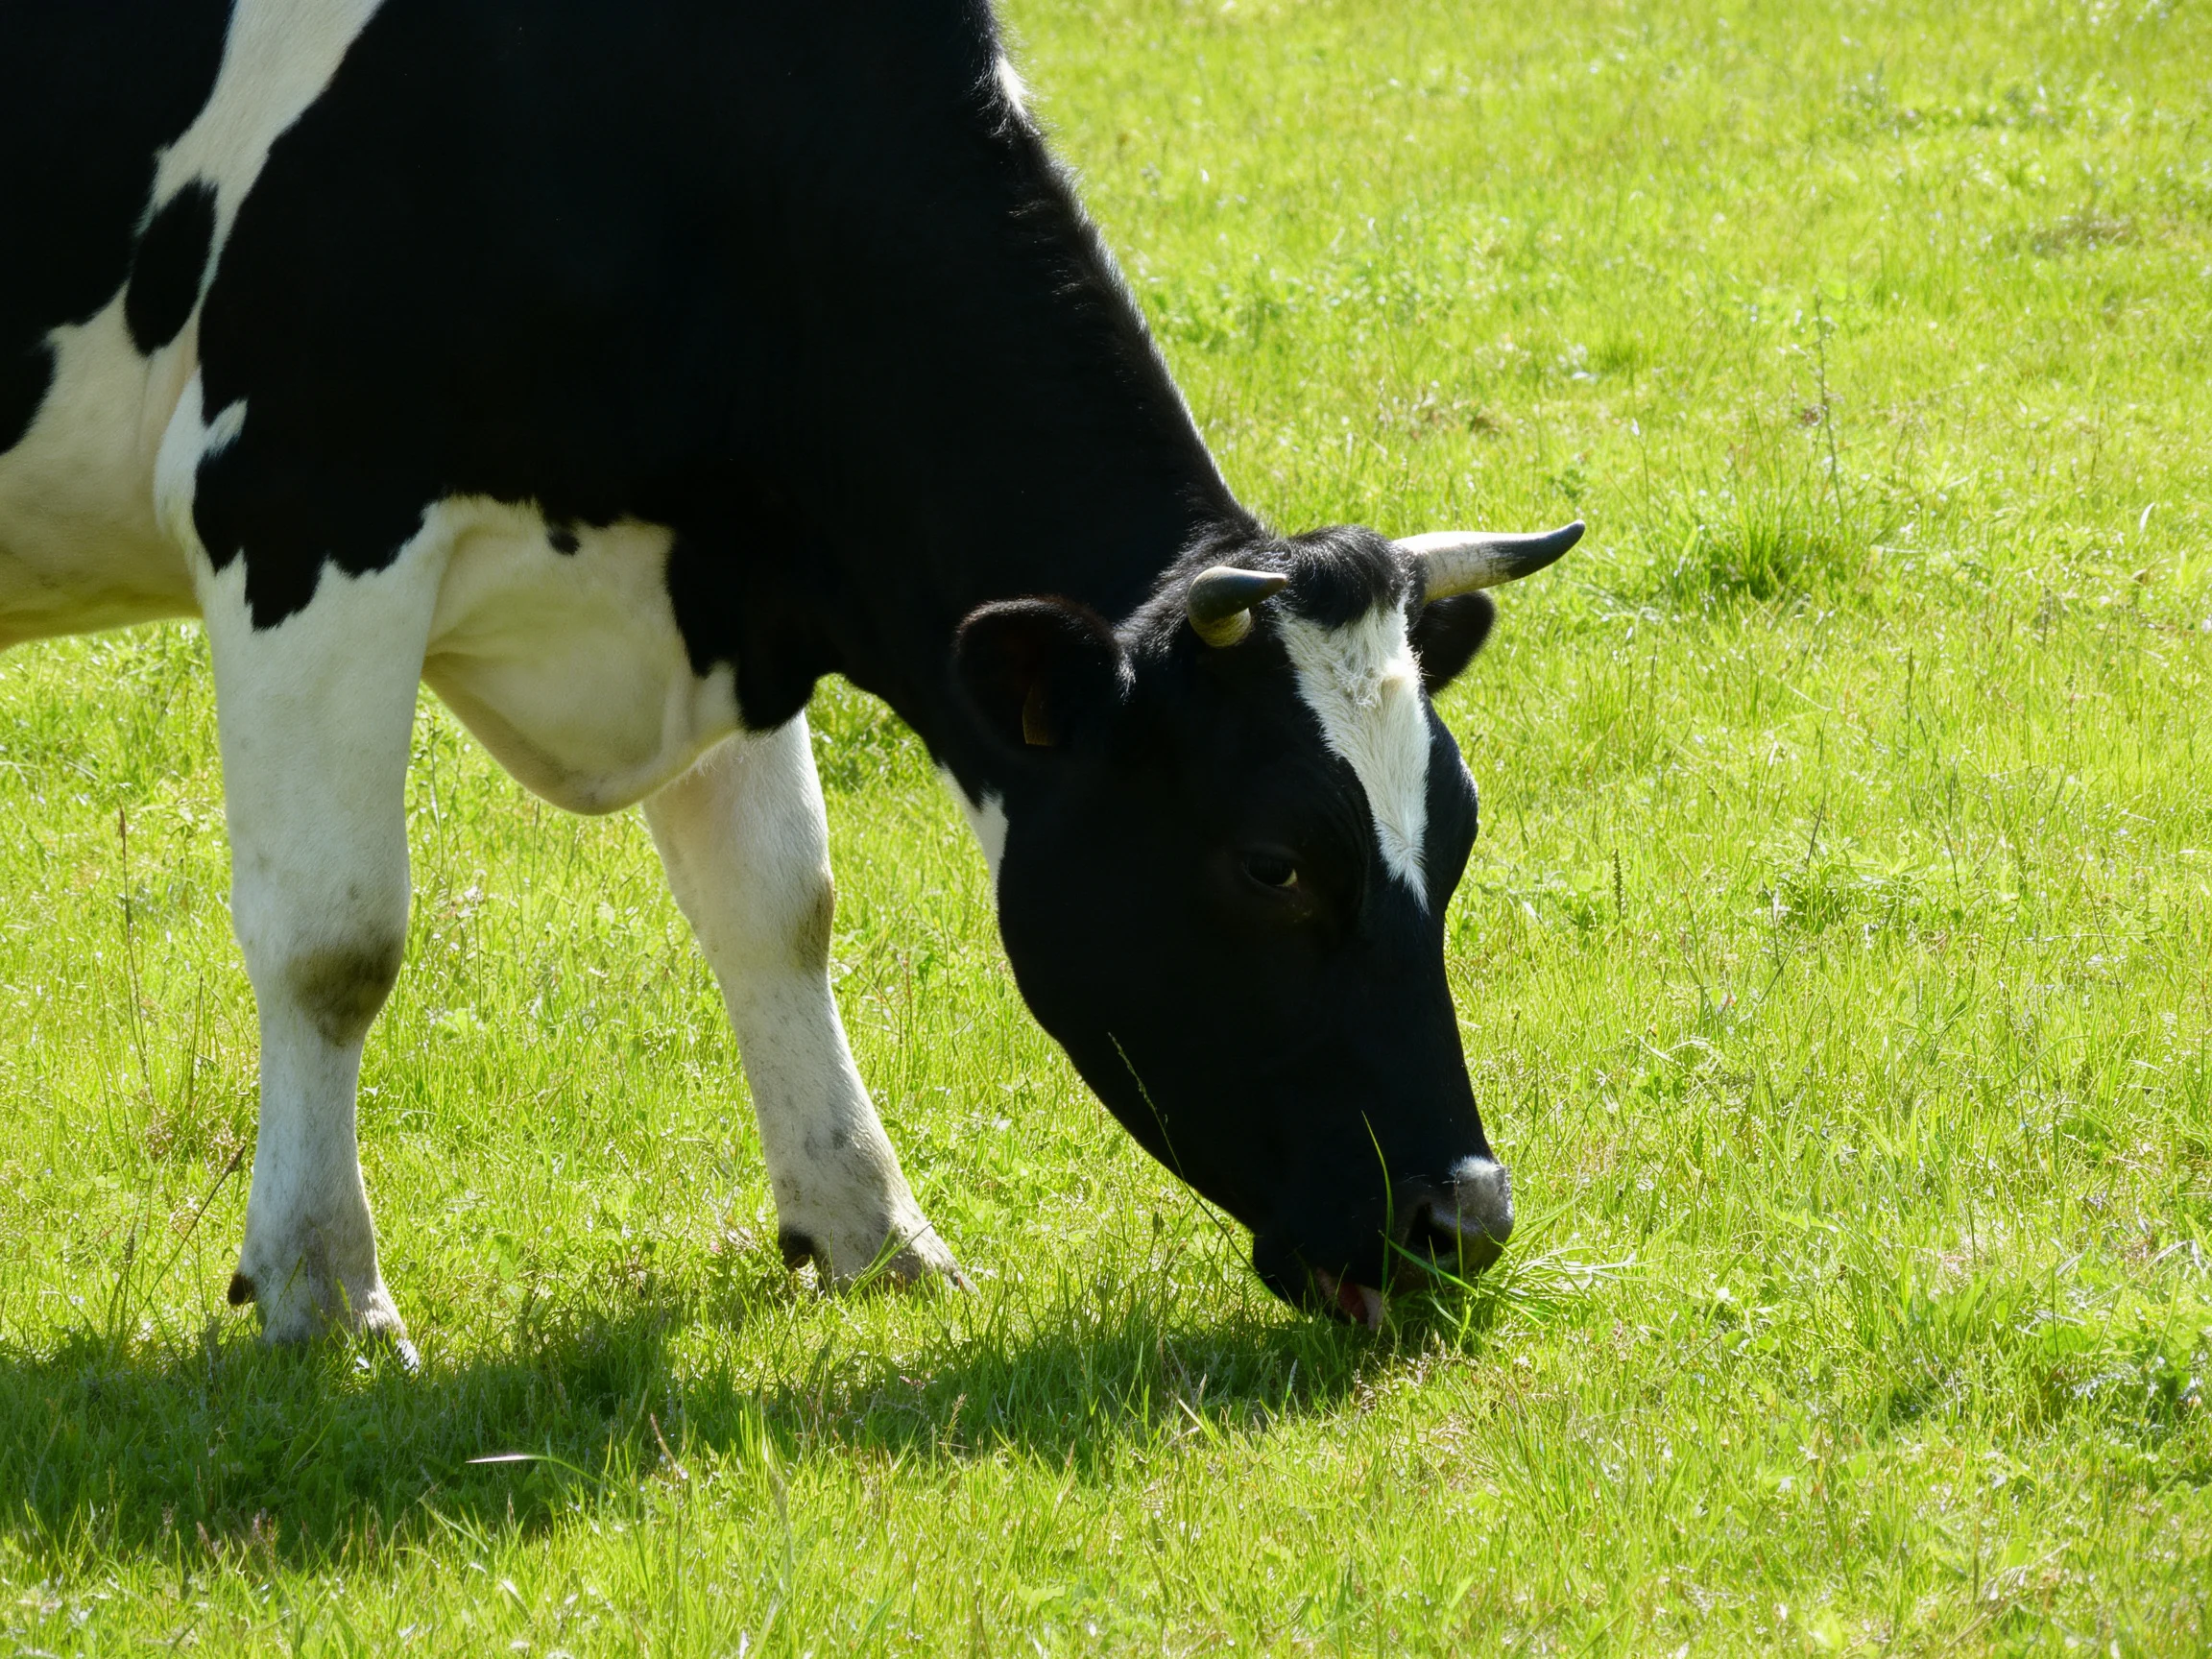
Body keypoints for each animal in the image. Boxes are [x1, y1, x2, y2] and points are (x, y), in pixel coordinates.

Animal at [0, 0, 1578, 1352]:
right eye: (1271, 864)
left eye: (1456, 836)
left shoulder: (723, 571)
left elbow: (779, 910)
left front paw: (872, 1230)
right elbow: (336, 941)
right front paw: (325, 1292)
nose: (1467, 1220)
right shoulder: (303, 504)